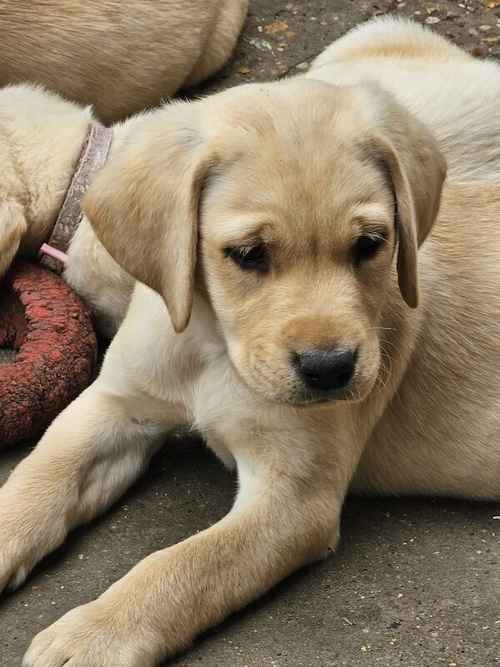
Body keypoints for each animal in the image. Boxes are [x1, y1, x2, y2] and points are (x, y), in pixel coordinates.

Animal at [0, 18, 498, 667]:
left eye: (371, 244)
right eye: (247, 254)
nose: (330, 369)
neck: (214, 348)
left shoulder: (292, 500)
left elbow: (180, 567)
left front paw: (93, 635)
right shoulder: (115, 405)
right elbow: (39, 477)